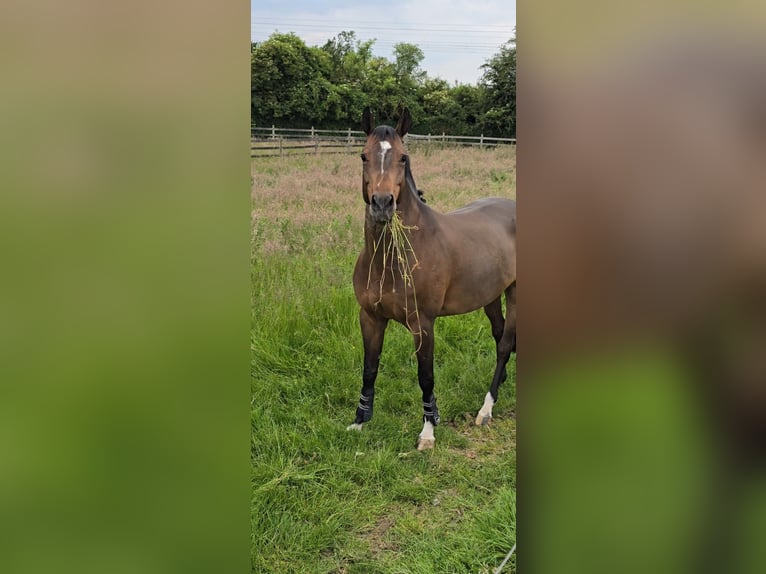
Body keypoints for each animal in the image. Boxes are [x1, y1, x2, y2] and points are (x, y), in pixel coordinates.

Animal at [350, 107, 520, 450]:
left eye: (403, 157)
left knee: (505, 344)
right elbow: (369, 369)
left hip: (516, 293)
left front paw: (428, 431)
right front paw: (360, 421)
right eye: (363, 156)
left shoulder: (423, 324)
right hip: (491, 296)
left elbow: (425, 376)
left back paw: (486, 409)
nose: (382, 204)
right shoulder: (371, 317)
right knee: (500, 337)